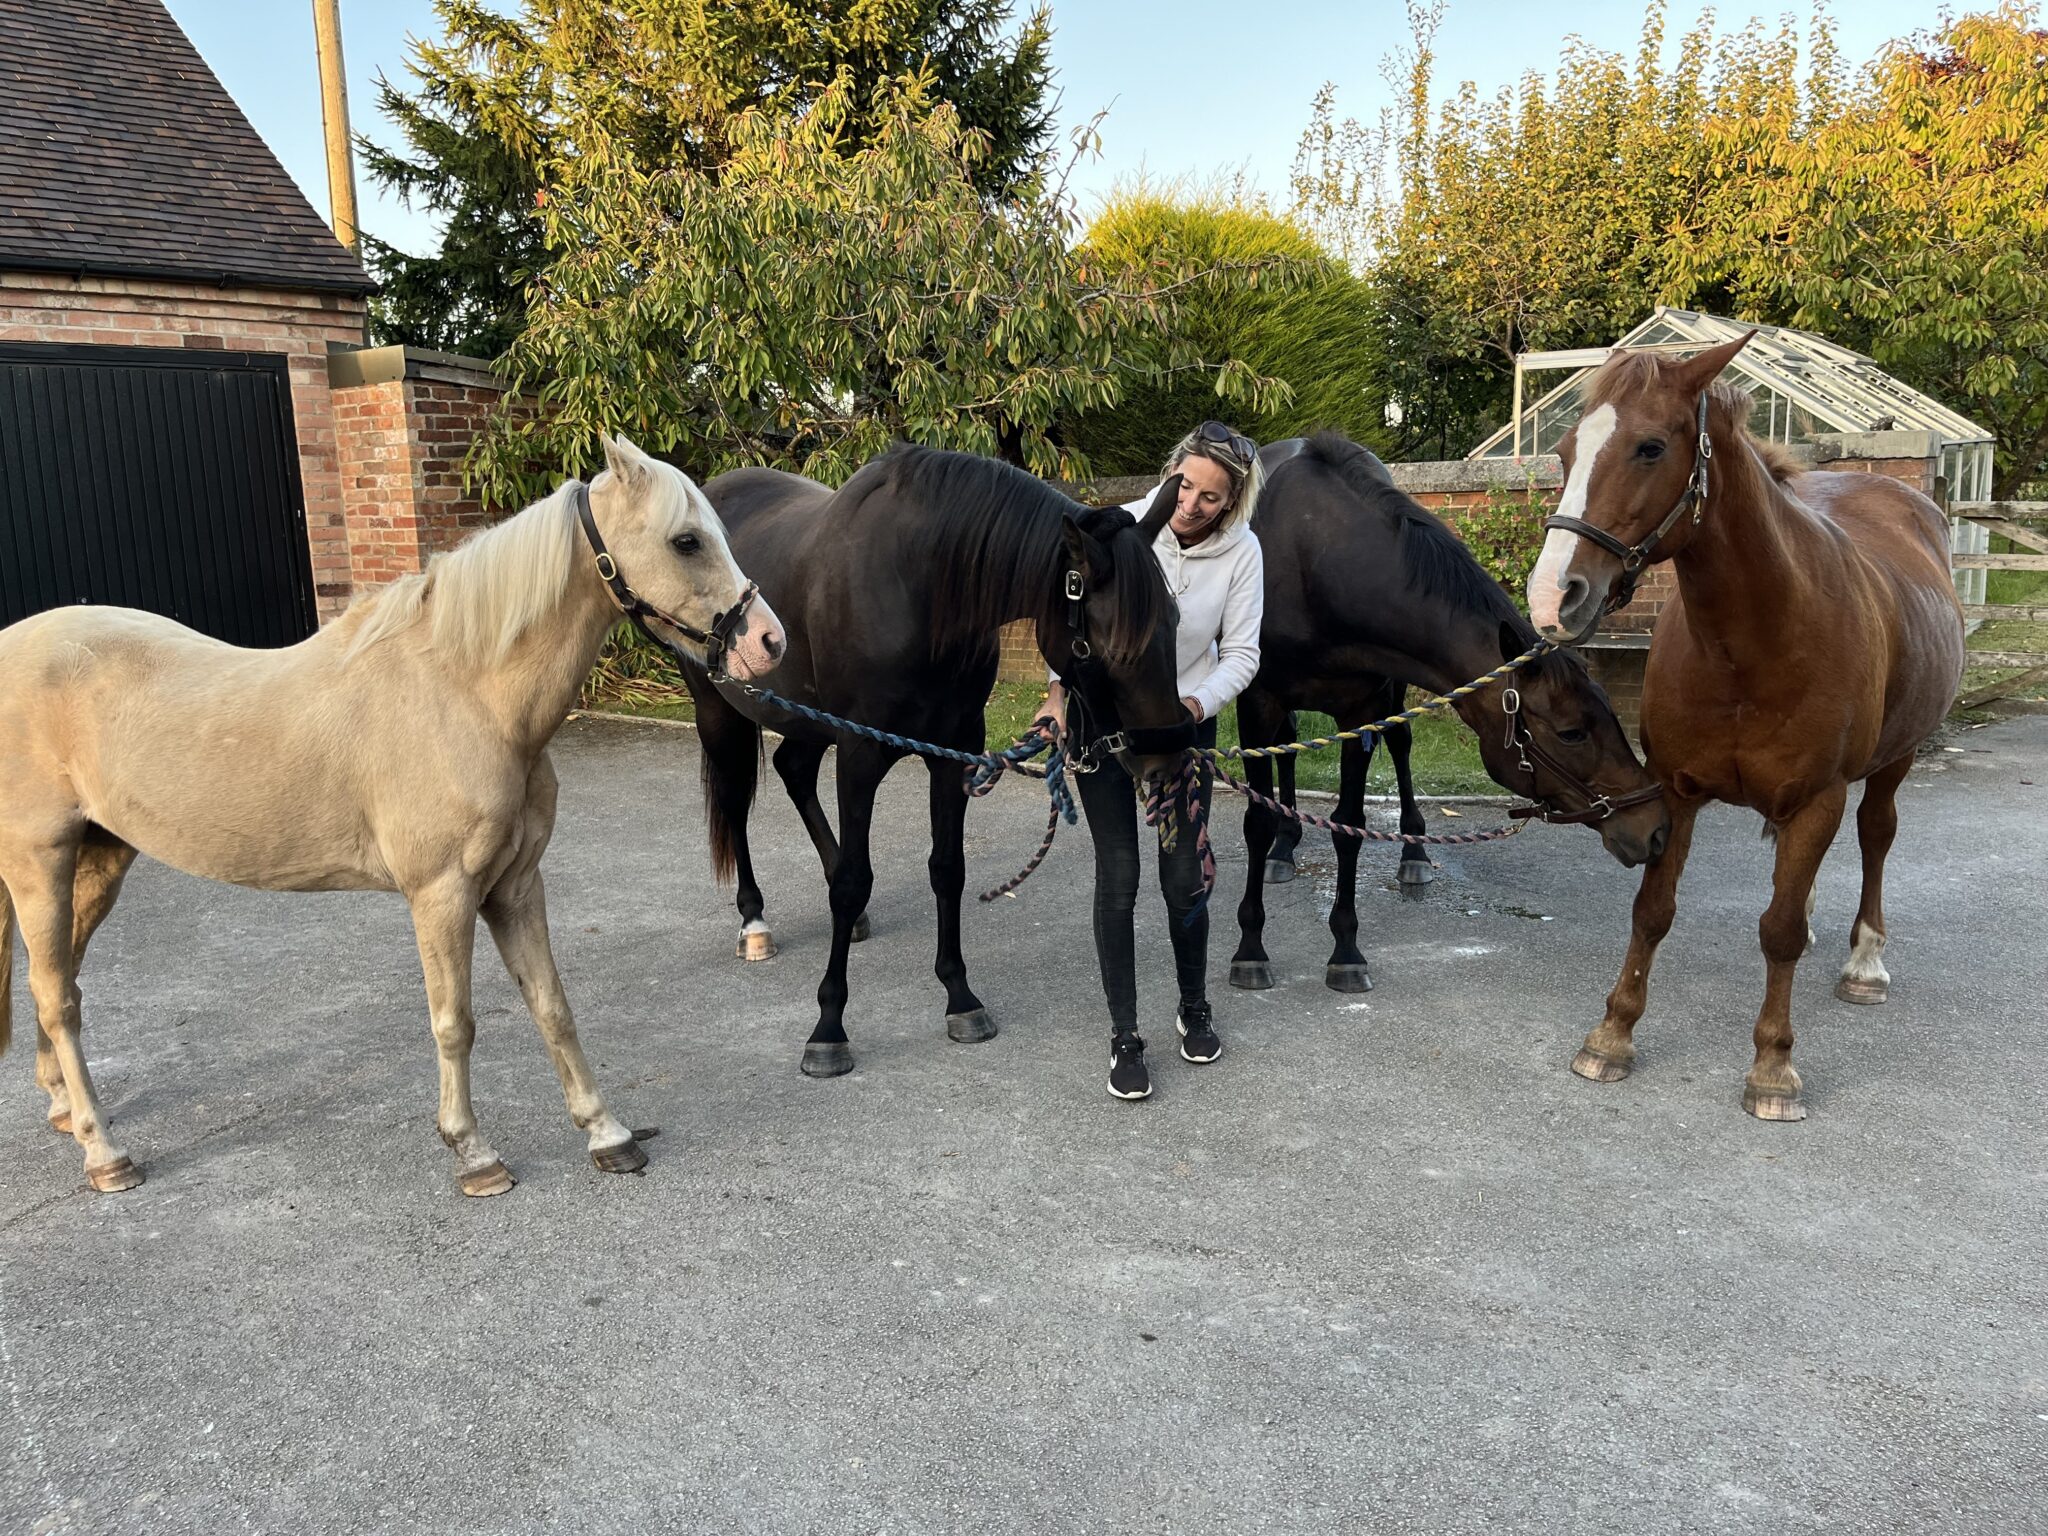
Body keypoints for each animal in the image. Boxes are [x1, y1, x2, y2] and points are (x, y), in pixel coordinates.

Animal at [0, 436, 785, 1196]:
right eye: (686, 540)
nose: (767, 642)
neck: (465, 691)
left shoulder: (515, 886)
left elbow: (551, 1006)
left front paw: (607, 1135)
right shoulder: (441, 893)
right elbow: (454, 1022)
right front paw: (474, 1155)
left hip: (100, 859)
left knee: (60, 984)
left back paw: (67, 1111)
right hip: (40, 864)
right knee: (56, 998)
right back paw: (106, 1154)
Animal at [685, 446, 1191, 1078]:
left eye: (1174, 622)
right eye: (1115, 648)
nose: (1165, 763)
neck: (915, 583)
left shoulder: (952, 751)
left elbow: (948, 869)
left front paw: (960, 997)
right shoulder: (860, 751)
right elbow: (852, 880)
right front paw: (829, 1028)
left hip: (805, 719)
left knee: (793, 770)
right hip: (719, 711)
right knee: (735, 801)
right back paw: (754, 922)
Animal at [1225, 432, 1672, 994]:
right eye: (1571, 733)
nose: (1655, 829)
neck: (1315, 565)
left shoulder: (1362, 710)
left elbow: (1350, 825)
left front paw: (1346, 949)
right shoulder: (1255, 700)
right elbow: (1257, 819)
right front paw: (1250, 946)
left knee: (1399, 748)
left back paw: (1412, 850)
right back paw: (1284, 848)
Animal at [1526, 335, 1965, 1120]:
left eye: (1649, 447)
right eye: (1567, 450)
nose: (1553, 598)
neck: (1752, 642)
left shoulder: (1818, 797)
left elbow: (1779, 932)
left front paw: (1772, 1066)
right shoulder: (1675, 791)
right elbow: (1653, 910)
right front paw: (1612, 1036)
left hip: (1896, 761)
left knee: (1876, 835)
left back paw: (1865, 961)